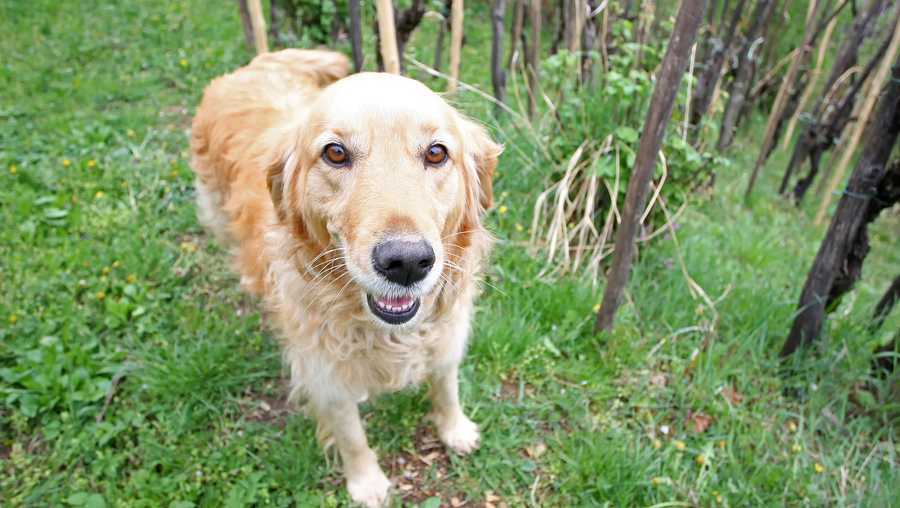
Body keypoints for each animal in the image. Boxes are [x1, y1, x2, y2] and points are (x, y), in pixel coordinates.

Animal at [190, 49, 500, 506]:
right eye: (335, 153)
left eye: (436, 153)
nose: (406, 262)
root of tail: (257, 64)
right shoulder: (324, 373)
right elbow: (351, 435)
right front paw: (366, 483)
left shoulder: (449, 332)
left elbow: (446, 384)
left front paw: (455, 430)